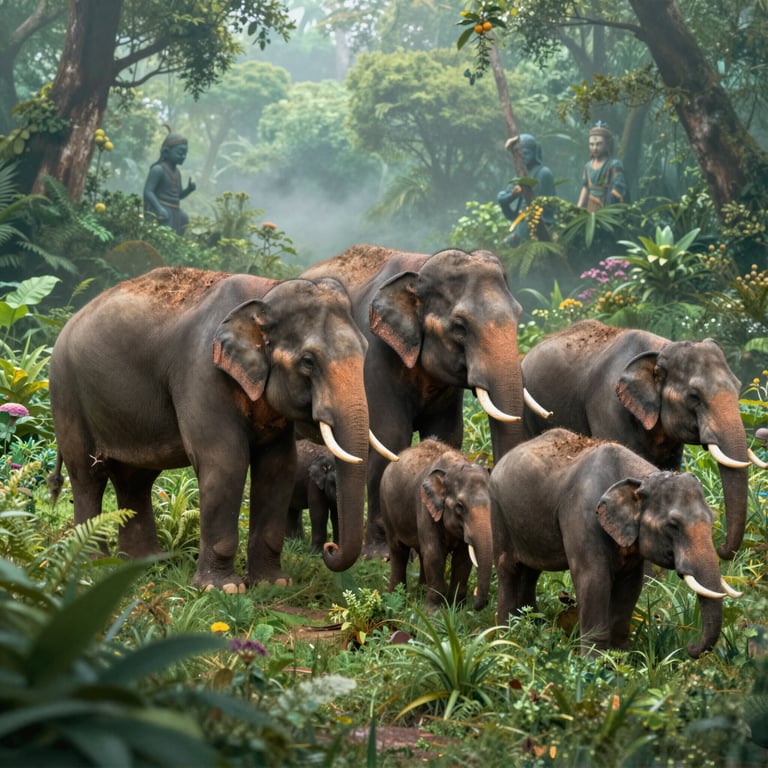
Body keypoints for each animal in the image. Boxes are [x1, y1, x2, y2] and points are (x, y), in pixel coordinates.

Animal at [48, 266, 374, 592]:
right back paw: (91, 567)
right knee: (88, 476)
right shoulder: (202, 372)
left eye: (366, 350)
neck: (266, 291)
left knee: (135, 479)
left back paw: (144, 563)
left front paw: (273, 584)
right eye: (308, 361)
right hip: (66, 395)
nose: (330, 549)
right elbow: (225, 461)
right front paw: (223, 588)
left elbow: (278, 466)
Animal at [302, 244, 550, 556]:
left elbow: (447, 434)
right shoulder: (375, 358)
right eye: (460, 327)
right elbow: (390, 437)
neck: (419, 269)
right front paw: (381, 555)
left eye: (518, 315)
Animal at [379, 439, 493, 611]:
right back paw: (395, 599)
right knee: (399, 551)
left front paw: (457, 608)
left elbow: (463, 558)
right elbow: (434, 553)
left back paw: (420, 591)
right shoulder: (425, 507)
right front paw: (434, 612)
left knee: (420, 552)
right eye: (460, 506)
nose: (479, 604)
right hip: (387, 511)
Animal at [490, 428, 743, 658]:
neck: (640, 478)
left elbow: (630, 585)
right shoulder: (583, 515)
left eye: (711, 519)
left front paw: (622, 656)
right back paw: (506, 637)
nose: (690, 647)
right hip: (499, 515)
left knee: (530, 571)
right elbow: (594, 578)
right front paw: (593, 662)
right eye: (673, 526)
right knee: (509, 569)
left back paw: (530, 627)